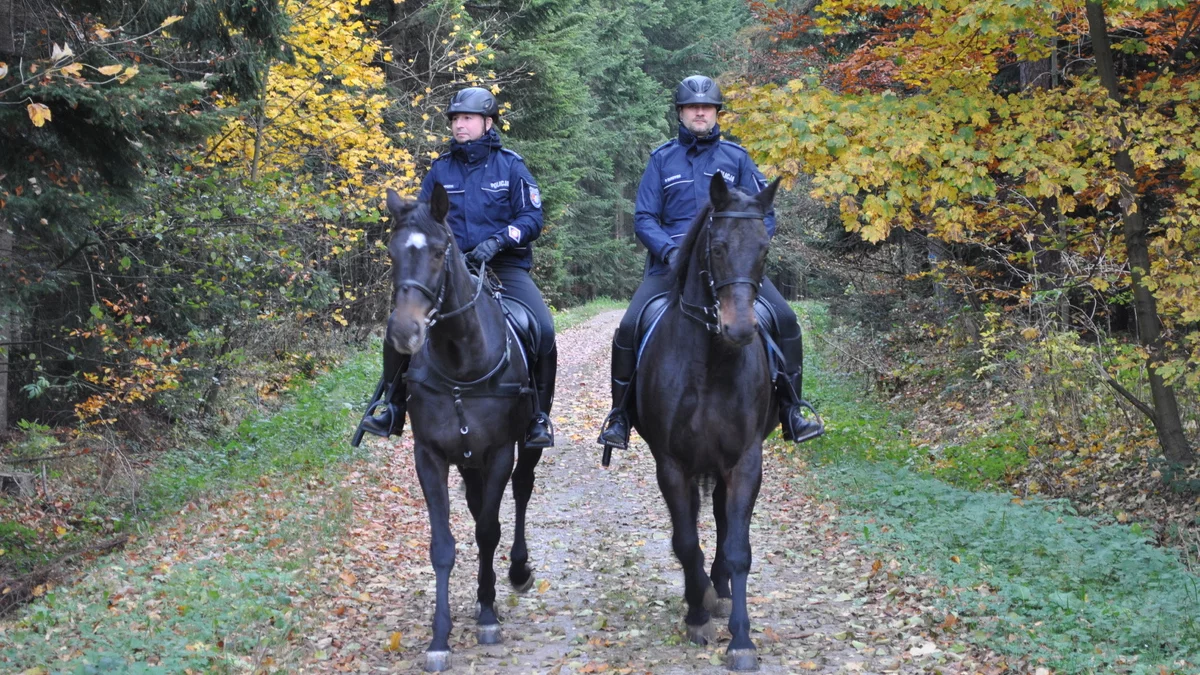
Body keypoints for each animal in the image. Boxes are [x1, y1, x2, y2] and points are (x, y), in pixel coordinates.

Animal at [381, 182, 542, 667]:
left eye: (438, 252)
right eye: (393, 252)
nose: (403, 333)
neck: (461, 363)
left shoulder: (499, 454)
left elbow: (488, 531)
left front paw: (488, 616)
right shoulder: (430, 458)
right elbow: (444, 545)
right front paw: (440, 637)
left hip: (525, 447)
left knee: (521, 492)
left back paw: (517, 570)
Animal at [633, 172, 782, 667]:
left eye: (764, 248)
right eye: (716, 247)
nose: (740, 329)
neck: (712, 362)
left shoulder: (745, 462)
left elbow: (738, 549)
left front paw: (741, 639)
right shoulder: (671, 464)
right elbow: (684, 542)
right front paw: (698, 614)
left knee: (719, 519)